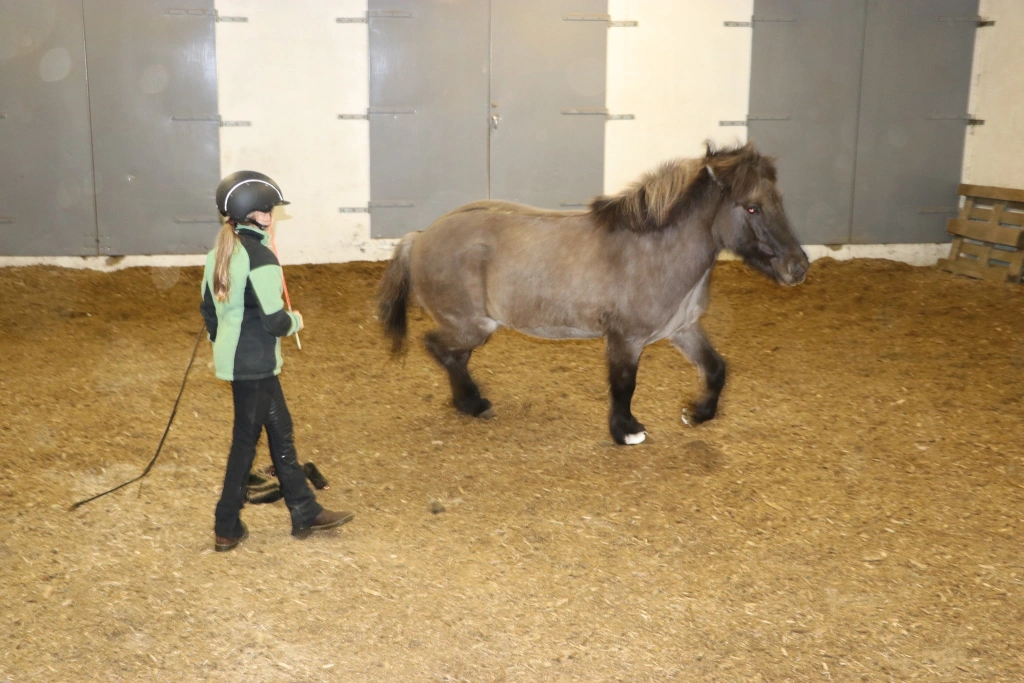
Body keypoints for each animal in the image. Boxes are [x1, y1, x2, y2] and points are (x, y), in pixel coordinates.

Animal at [377, 141, 809, 445]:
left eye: (778, 201)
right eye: (752, 208)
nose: (798, 266)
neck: (655, 252)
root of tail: (420, 238)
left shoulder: (682, 330)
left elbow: (717, 368)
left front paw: (697, 413)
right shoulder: (625, 338)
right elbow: (624, 385)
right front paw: (627, 431)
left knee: (455, 356)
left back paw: (470, 403)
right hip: (471, 325)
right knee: (439, 348)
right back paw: (473, 403)